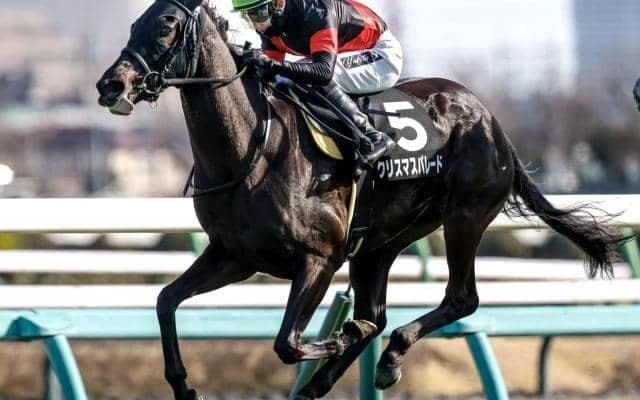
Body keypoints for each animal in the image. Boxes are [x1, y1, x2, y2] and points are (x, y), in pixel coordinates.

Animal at [96, 1, 626, 399]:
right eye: (134, 23)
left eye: (166, 25)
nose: (110, 84)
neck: (249, 147)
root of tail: (491, 120)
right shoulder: (234, 256)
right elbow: (166, 300)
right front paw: (183, 386)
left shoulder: (319, 258)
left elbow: (289, 343)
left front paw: (339, 339)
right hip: (380, 242)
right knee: (379, 311)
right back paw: (338, 375)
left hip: (465, 214)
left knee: (459, 298)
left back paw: (386, 355)